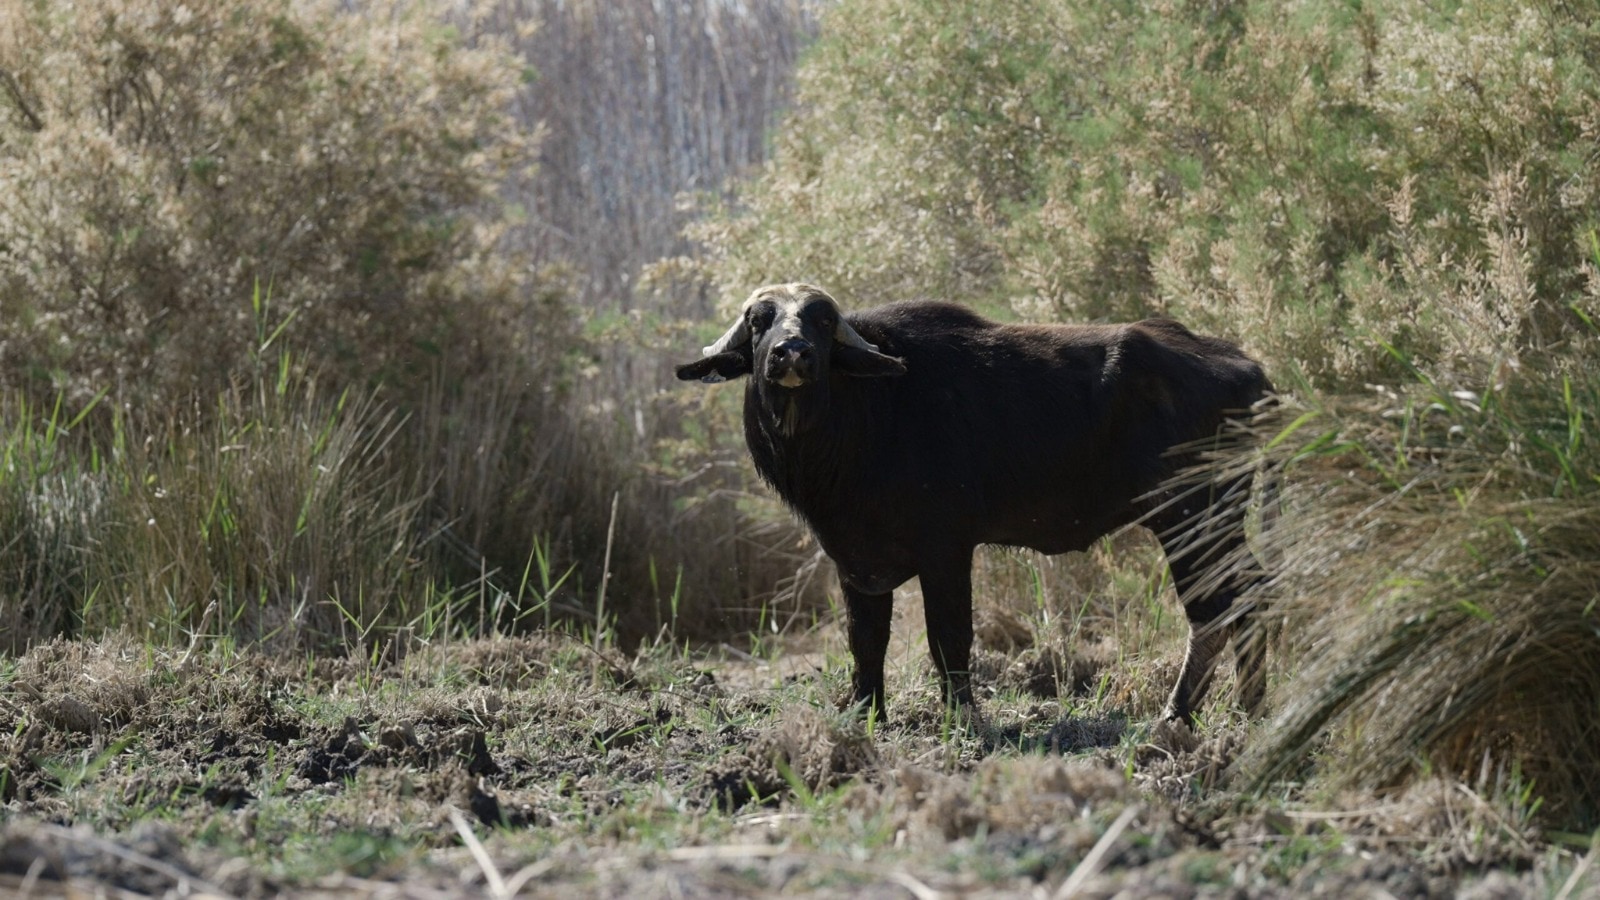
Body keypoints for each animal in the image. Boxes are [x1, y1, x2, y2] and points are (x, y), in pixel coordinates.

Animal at [677, 283, 1273, 724]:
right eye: (760, 321)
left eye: (822, 322)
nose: (791, 354)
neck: (867, 416)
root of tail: (1248, 371)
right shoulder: (855, 561)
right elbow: (866, 641)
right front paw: (866, 716)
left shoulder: (946, 551)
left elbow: (949, 637)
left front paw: (962, 718)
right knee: (1252, 592)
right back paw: (1250, 709)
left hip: (1191, 518)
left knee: (1216, 608)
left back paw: (1178, 715)